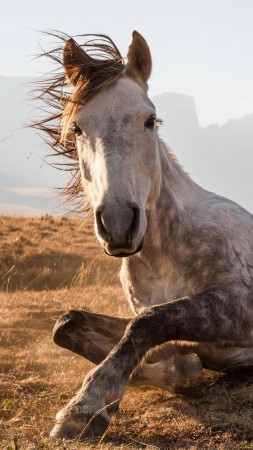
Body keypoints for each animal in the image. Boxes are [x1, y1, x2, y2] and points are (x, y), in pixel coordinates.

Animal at [34, 30, 253, 440]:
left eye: (150, 120)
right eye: (78, 128)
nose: (119, 222)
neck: (168, 251)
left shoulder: (240, 304)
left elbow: (149, 321)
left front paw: (84, 406)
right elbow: (68, 325)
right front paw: (177, 371)